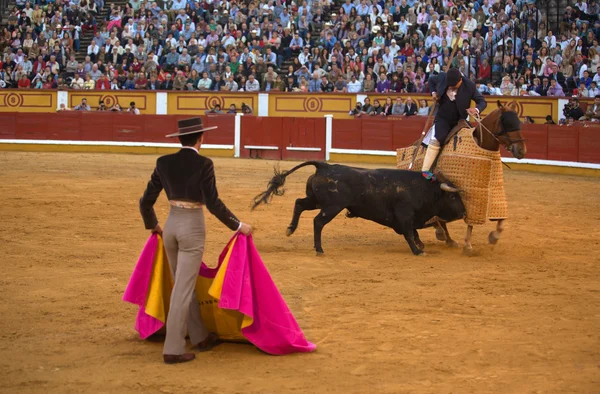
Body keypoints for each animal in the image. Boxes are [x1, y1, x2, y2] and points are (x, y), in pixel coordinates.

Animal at [251, 161, 466, 255]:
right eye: (453, 196)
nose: (464, 212)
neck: (423, 189)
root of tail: (324, 166)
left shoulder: (410, 218)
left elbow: (414, 232)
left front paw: (420, 245)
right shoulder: (404, 215)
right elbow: (408, 233)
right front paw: (417, 250)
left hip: (316, 201)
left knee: (299, 203)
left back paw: (291, 229)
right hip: (332, 206)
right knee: (318, 221)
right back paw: (319, 249)